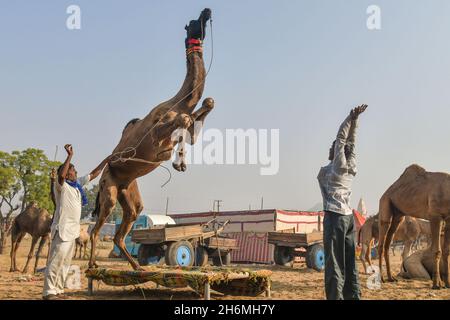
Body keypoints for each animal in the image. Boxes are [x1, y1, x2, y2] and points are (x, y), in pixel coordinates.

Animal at [89, 8, 214, 270]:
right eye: (193, 23)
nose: (207, 11)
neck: (179, 102)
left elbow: (207, 104)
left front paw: (181, 162)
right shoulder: (156, 135)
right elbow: (183, 121)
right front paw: (178, 162)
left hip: (129, 192)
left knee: (124, 226)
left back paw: (137, 266)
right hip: (108, 187)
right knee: (96, 228)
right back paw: (93, 264)